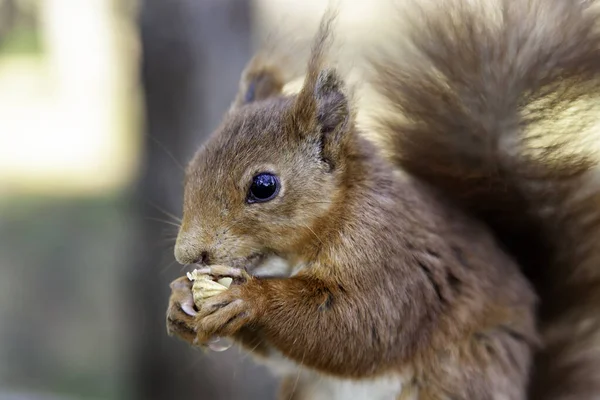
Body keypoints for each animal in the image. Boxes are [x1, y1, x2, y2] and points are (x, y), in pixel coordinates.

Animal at [165, 0, 600, 400]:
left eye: (264, 186)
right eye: (191, 168)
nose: (188, 253)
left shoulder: (391, 259)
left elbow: (359, 327)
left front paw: (249, 297)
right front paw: (179, 301)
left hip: (462, 375)